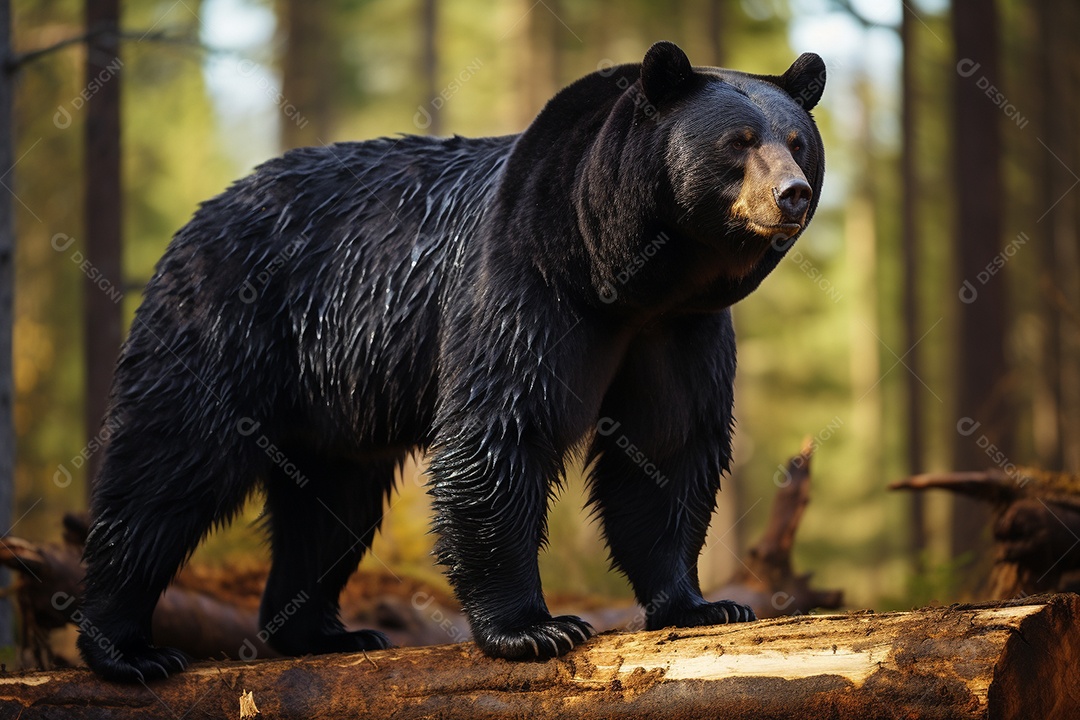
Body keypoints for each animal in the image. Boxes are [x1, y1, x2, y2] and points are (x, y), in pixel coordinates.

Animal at [78, 40, 825, 682]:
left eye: (797, 142)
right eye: (738, 141)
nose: (793, 193)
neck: (626, 272)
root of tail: (198, 217)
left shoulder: (679, 330)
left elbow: (667, 447)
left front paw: (704, 603)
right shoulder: (528, 280)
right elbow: (502, 431)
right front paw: (535, 628)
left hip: (334, 398)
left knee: (330, 505)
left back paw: (324, 631)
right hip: (226, 323)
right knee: (168, 467)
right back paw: (127, 648)